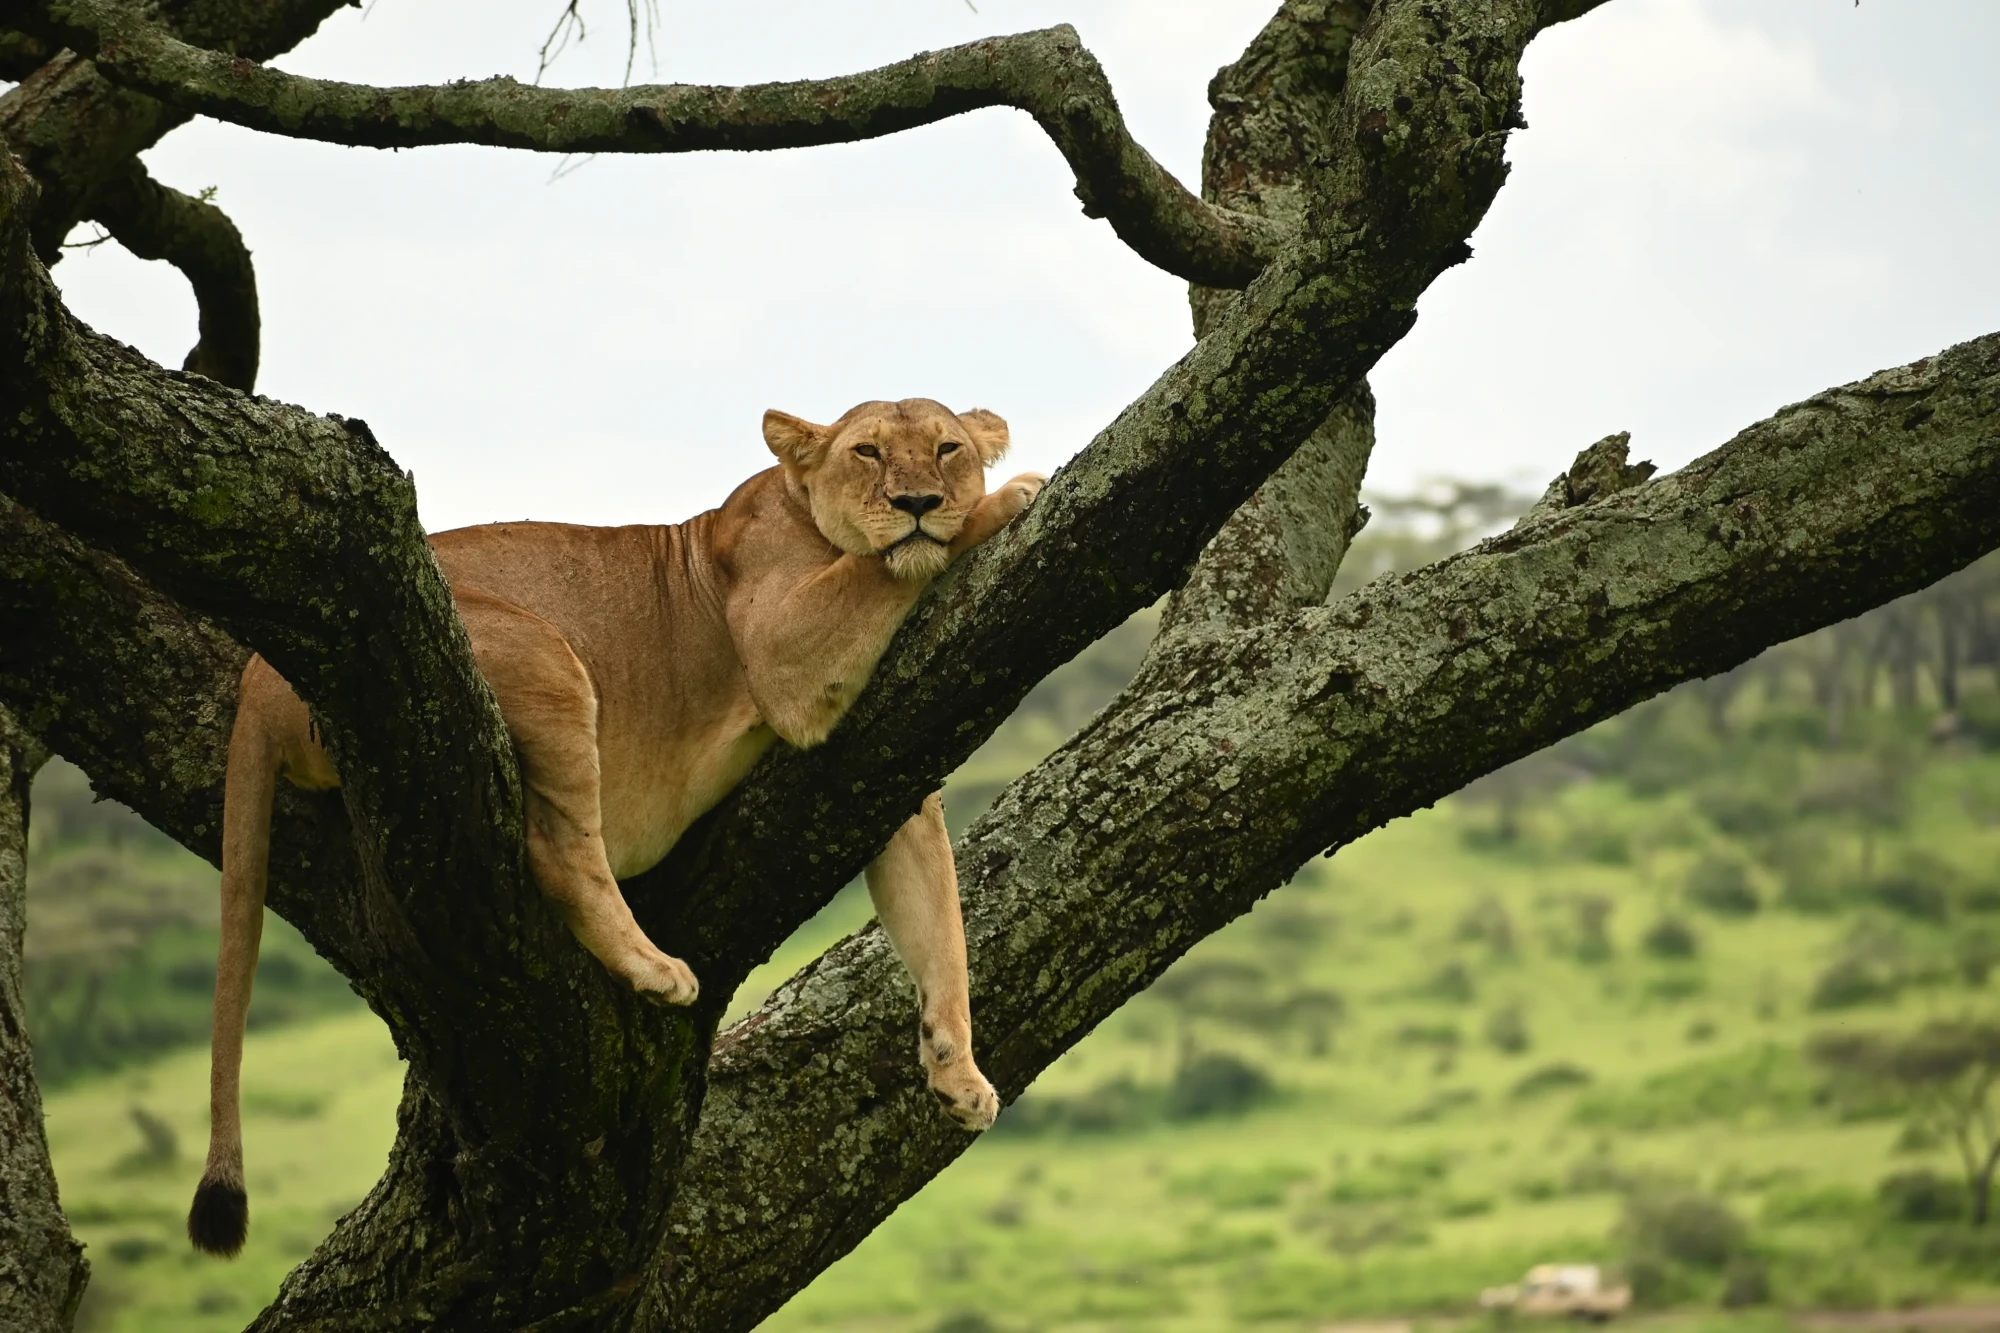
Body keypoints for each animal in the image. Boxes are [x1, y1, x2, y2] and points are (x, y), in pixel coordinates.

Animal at [189, 398, 1043, 1256]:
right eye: (867, 452)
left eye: (948, 448)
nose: (919, 502)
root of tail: (258, 668)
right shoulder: (781, 650)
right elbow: (889, 565)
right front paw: (1009, 499)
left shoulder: (888, 768)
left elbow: (939, 919)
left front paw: (959, 1071)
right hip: (543, 654)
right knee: (560, 851)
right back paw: (653, 966)